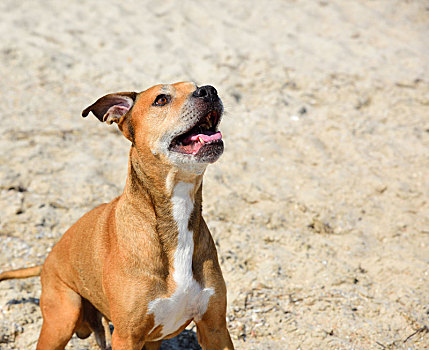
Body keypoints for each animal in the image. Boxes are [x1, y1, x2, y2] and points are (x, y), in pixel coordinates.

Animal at [0, 82, 234, 350]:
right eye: (161, 99)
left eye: (196, 86)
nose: (209, 90)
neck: (177, 211)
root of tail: (47, 261)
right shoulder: (126, 336)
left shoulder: (215, 328)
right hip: (61, 320)